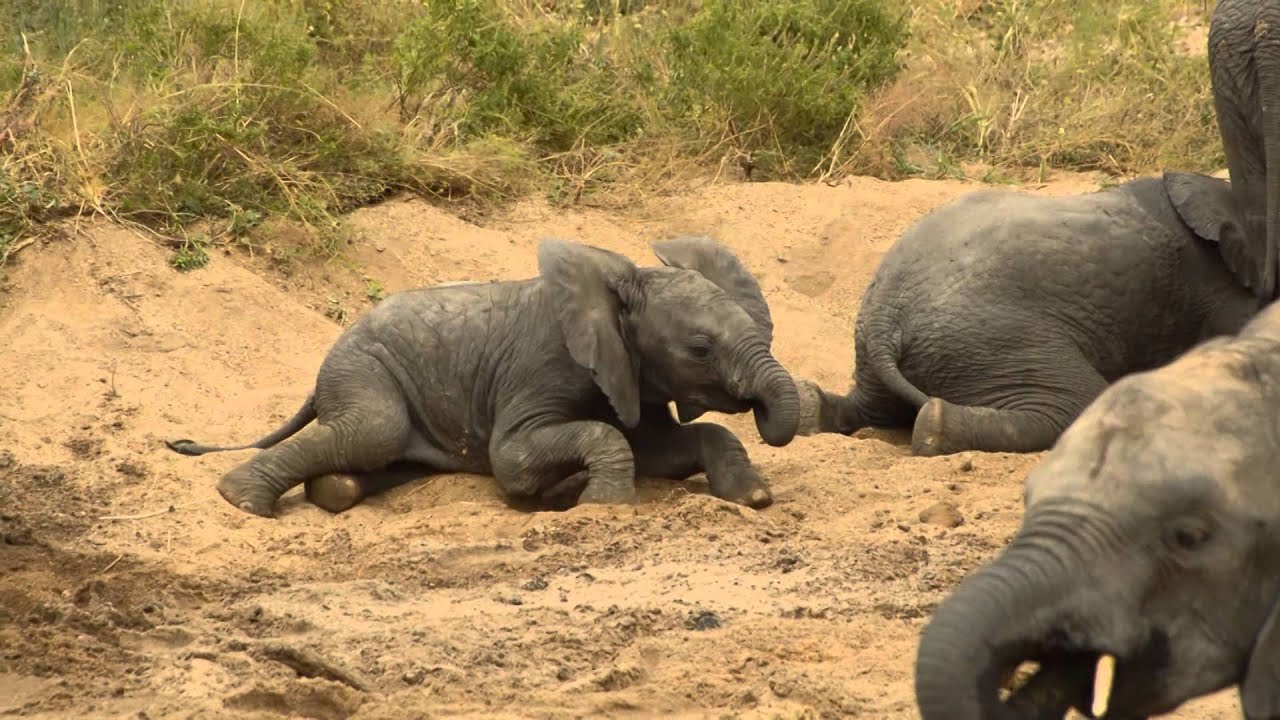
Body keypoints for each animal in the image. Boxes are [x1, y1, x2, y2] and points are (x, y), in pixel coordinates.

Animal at [163, 235, 800, 518]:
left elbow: (662, 447)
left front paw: (753, 497)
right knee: (373, 430)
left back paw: (332, 491)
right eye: (700, 348)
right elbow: (514, 460)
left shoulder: (627, 375)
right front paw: (599, 508)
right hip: (365, 371)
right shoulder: (546, 366)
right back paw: (242, 501)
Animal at [793, 172, 1259, 456]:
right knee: (1075, 401)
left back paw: (811, 407)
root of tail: (883, 321)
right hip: (991, 339)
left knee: (870, 409)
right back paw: (933, 427)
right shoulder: (1219, 292)